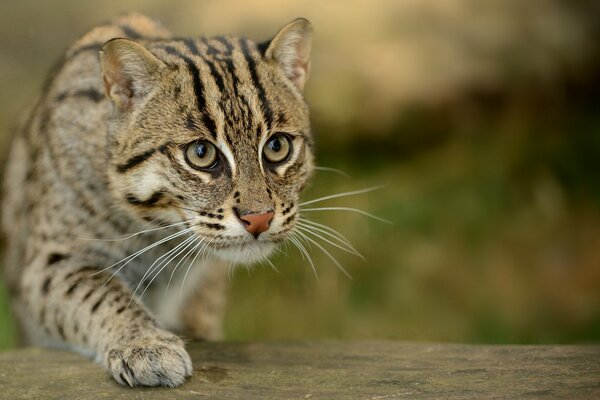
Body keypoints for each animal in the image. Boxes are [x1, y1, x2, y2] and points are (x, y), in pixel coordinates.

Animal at [1, 14, 314, 386]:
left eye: (277, 147)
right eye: (201, 153)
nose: (260, 219)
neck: (158, 232)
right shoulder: (46, 262)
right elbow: (99, 293)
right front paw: (145, 344)